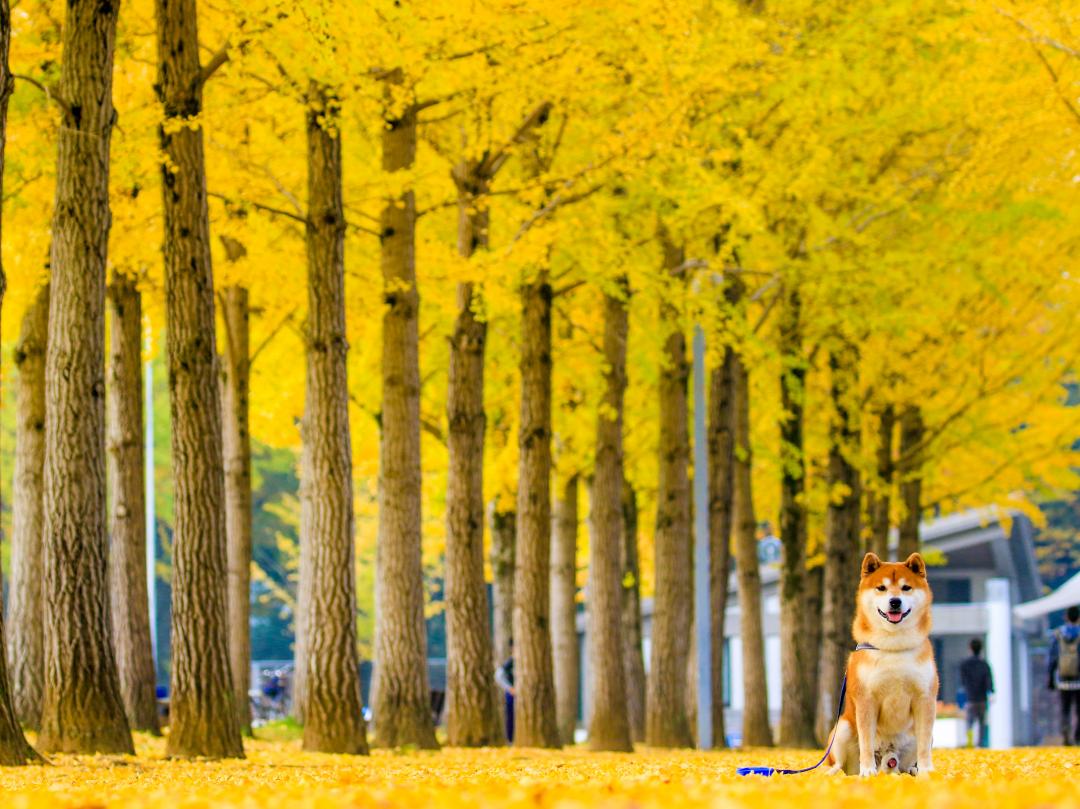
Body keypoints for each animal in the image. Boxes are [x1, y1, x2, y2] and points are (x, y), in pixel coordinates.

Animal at [825, 548, 937, 777]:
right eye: (881, 588)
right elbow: (866, 742)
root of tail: (888, 756)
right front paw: (868, 771)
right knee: (839, 764)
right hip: (841, 729)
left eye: (906, 587)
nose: (895, 601)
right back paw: (835, 773)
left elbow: (924, 747)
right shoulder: (866, 699)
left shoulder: (925, 698)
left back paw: (913, 770)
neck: (893, 647)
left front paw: (927, 772)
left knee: (905, 765)